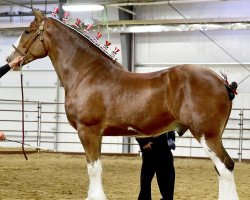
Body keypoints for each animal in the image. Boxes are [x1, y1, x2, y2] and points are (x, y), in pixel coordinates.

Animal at [8, 9, 238, 200]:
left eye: (27, 31)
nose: (10, 60)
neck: (86, 73)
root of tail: (222, 82)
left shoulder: (87, 130)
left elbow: (92, 168)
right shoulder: (97, 134)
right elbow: (98, 167)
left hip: (206, 135)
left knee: (225, 167)